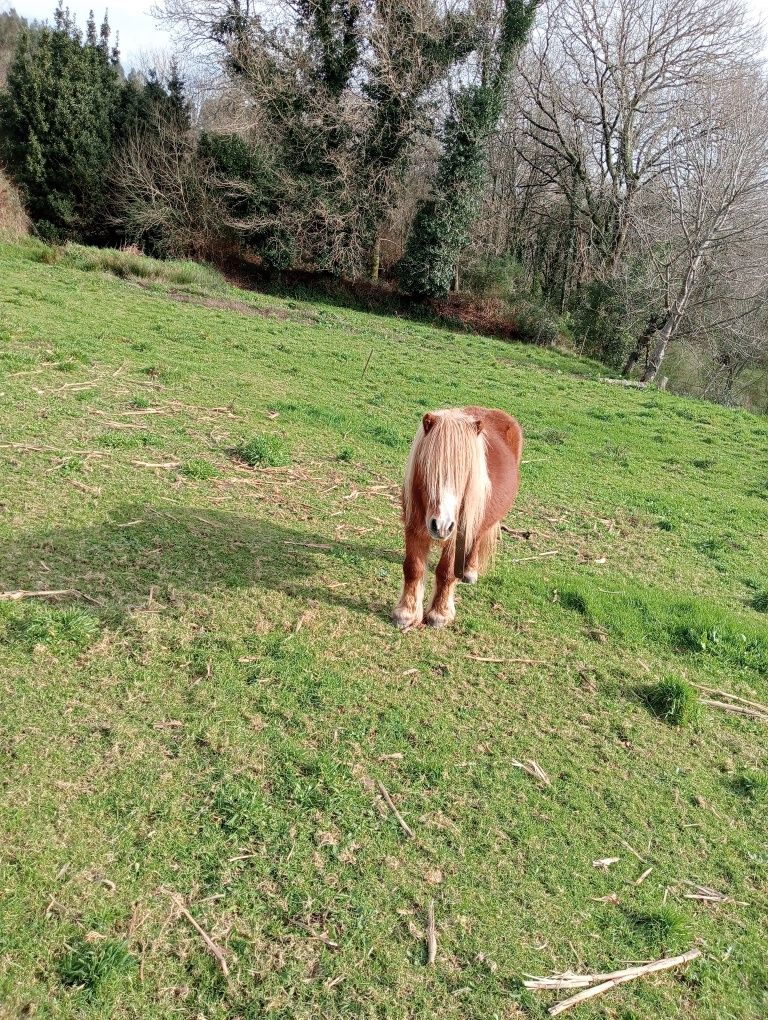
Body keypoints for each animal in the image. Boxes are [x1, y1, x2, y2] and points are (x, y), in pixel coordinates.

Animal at [389, 405, 522, 628]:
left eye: (466, 475)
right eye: (429, 469)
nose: (441, 526)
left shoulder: (457, 535)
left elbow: (446, 572)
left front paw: (439, 614)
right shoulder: (413, 527)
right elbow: (413, 567)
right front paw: (406, 613)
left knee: (476, 540)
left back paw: (469, 571)